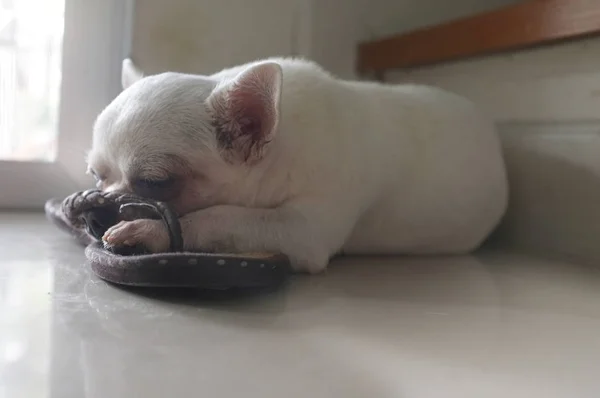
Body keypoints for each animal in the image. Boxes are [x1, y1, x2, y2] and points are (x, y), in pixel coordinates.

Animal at [86, 56, 508, 274]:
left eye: (156, 183)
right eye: (96, 175)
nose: (97, 205)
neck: (282, 143)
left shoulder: (302, 232)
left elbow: (219, 216)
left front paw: (147, 230)